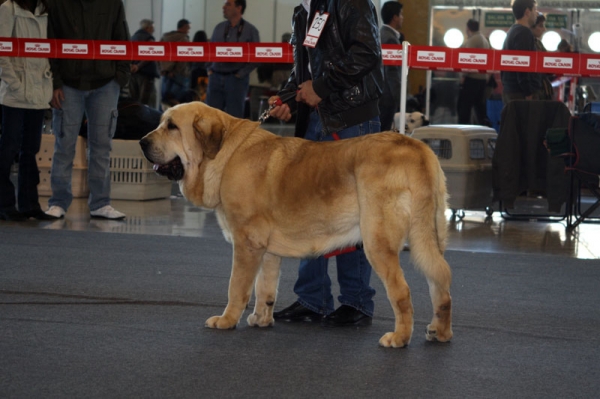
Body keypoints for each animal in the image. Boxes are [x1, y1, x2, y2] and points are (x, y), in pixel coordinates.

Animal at [139, 101, 450, 348]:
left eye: (172, 127)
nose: (141, 141)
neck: (225, 155)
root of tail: (416, 147)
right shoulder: (265, 249)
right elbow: (265, 287)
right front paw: (261, 318)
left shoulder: (246, 244)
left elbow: (237, 287)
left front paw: (227, 320)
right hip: (429, 236)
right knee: (441, 279)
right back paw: (440, 332)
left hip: (378, 242)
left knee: (403, 292)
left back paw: (399, 338)